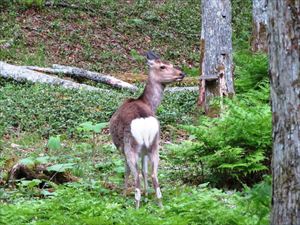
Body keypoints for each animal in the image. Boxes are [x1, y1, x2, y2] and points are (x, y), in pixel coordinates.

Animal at [109, 51, 185, 207]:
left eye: (171, 64)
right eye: (163, 66)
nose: (182, 73)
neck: (148, 103)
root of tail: (144, 122)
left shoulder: (122, 149)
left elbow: (127, 171)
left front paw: (124, 194)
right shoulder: (144, 151)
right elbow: (145, 170)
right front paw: (147, 193)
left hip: (130, 146)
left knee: (136, 175)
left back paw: (136, 205)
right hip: (155, 145)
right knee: (154, 174)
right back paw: (160, 205)